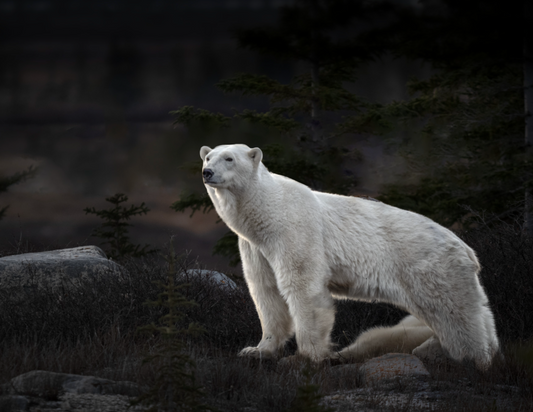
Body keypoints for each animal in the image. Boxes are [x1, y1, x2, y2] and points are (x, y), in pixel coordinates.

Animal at [200, 143, 498, 368]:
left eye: (229, 158)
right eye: (208, 156)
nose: (207, 172)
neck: (267, 212)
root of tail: (468, 250)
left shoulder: (294, 231)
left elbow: (303, 286)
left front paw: (305, 357)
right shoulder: (256, 247)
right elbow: (266, 291)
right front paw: (257, 350)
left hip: (432, 270)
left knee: (455, 313)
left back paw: (470, 359)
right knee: (479, 310)